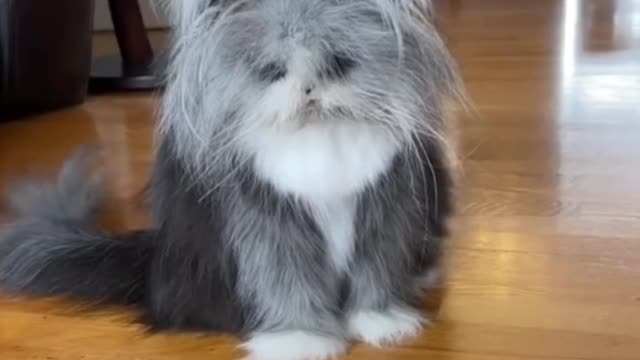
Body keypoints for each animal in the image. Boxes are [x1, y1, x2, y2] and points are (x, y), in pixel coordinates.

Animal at [0, 0, 462, 360]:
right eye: (272, 70)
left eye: (338, 63)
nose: (309, 91)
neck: (317, 135)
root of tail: (153, 262)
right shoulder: (267, 220)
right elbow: (285, 282)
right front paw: (301, 340)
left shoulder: (383, 207)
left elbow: (376, 270)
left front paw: (382, 322)